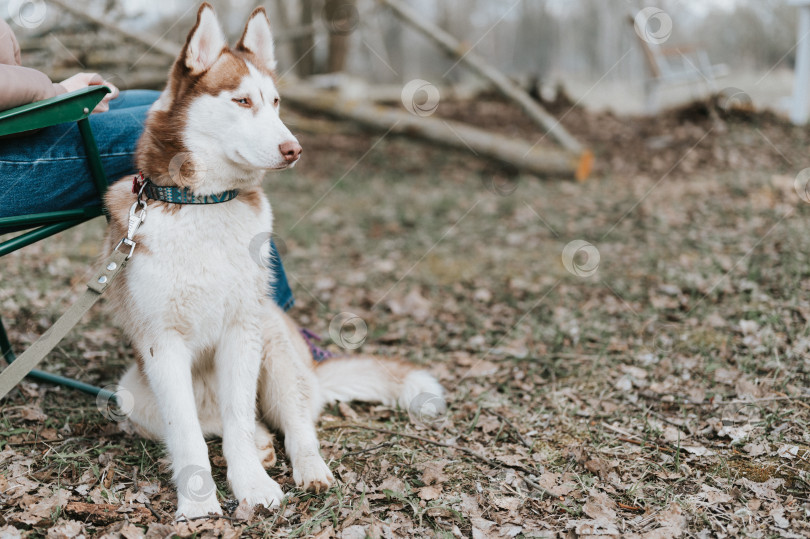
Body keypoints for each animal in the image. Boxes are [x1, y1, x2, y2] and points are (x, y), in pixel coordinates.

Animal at [102, 3, 442, 520]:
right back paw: (262, 443)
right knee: (211, 421)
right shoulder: (162, 343)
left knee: (295, 426)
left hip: (276, 346)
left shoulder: (243, 329)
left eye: (277, 102)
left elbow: (240, 420)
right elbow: (187, 433)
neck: (206, 205)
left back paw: (308, 468)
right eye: (242, 101)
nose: (294, 148)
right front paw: (198, 502)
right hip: (131, 393)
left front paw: (253, 487)